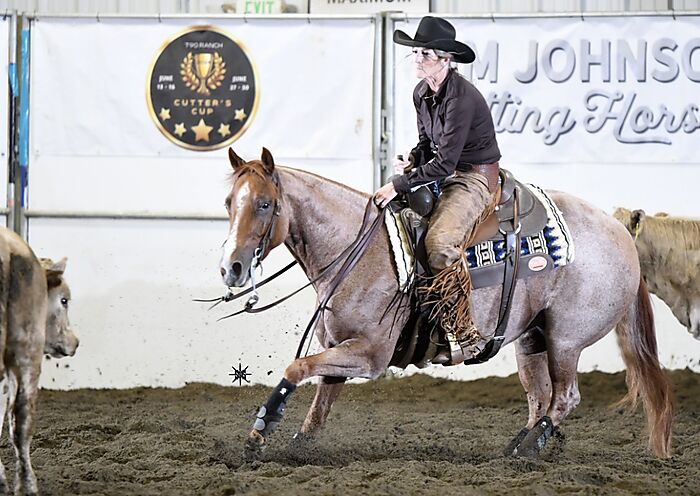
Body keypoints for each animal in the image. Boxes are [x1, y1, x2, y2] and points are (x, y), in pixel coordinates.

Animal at [218, 147, 674, 460]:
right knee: (539, 396)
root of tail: (619, 230)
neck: (357, 247)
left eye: (264, 203)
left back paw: (529, 450)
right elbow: (320, 404)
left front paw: (261, 429)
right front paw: (297, 444)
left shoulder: (370, 355)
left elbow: (296, 368)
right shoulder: (339, 347)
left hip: (566, 339)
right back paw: (519, 445)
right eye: (228, 203)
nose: (231, 268)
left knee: (565, 398)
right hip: (531, 339)